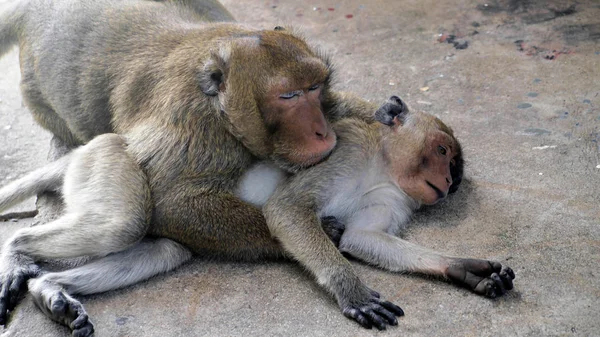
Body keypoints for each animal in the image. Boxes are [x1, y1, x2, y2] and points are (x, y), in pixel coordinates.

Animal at [0, 0, 422, 334]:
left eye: (316, 87)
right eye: (288, 96)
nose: (322, 132)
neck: (220, 106)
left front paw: (384, 111)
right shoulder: (193, 127)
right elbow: (174, 205)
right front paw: (330, 243)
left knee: (165, 246)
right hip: (69, 127)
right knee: (125, 220)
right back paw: (20, 251)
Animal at [233, 96, 510, 330]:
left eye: (453, 165)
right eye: (442, 151)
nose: (449, 181)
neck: (382, 165)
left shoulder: (394, 198)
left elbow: (360, 235)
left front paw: (461, 268)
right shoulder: (348, 150)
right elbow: (287, 208)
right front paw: (353, 294)